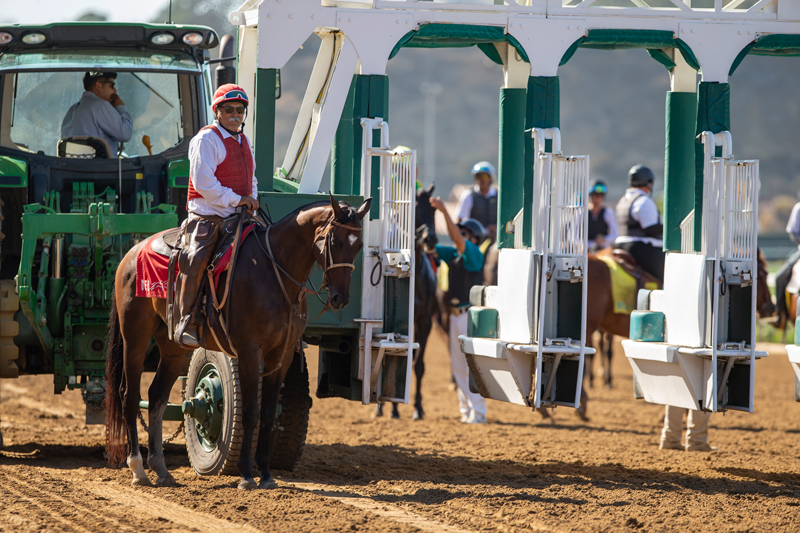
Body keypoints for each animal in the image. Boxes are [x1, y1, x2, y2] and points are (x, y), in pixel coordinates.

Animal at [104, 196, 370, 490]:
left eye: (358, 245)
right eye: (334, 241)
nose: (340, 298)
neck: (274, 272)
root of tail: (132, 252)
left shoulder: (282, 356)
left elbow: (268, 413)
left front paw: (265, 473)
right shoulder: (249, 352)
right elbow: (250, 412)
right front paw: (246, 474)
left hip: (173, 346)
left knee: (156, 396)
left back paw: (161, 469)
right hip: (135, 336)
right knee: (129, 395)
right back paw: (137, 468)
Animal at [376, 183, 438, 420]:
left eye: (434, 210)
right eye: (416, 209)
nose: (431, 239)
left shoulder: (425, 321)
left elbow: (418, 365)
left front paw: (418, 408)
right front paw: (391, 408)